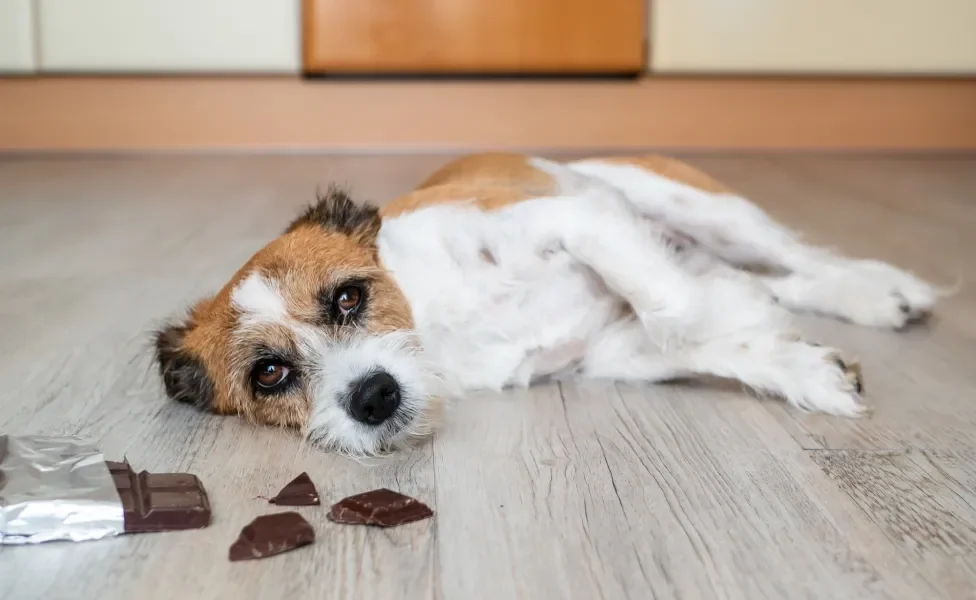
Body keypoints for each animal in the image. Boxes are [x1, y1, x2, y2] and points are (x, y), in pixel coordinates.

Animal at [156, 151, 940, 454]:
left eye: (349, 297)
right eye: (270, 374)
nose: (373, 397)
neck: (438, 322)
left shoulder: (576, 217)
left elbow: (673, 306)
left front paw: (734, 318)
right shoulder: (609, 353)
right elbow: (699, 338)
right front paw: (802, 368)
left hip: (700, 206)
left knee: (801, 259)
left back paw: (885, 290)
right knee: (780, 279)